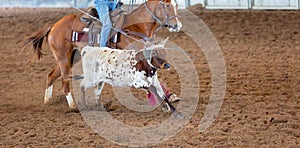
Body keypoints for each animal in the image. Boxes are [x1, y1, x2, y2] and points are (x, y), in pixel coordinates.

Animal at [23, 0, 182, 108]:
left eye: (176, 5)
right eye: (168, 6)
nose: (177, 26)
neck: (136, 27)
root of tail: (54, 25)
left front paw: (170, 96)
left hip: (72, 57)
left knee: (51, 75)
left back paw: (47, 102)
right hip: (64, 58)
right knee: (64, 80)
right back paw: (73, 105)